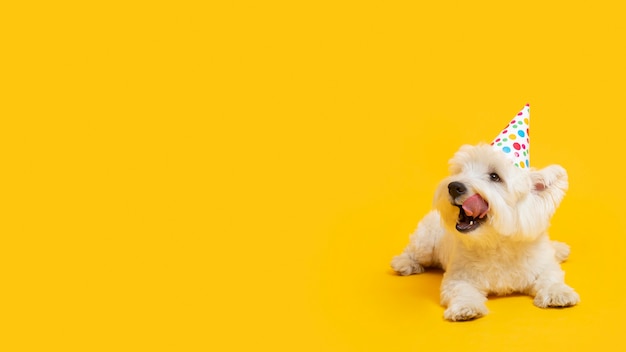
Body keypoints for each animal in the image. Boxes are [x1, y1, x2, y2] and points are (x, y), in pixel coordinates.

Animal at [392, 144, 576, 322]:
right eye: (461, 171)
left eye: (494, 176)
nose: (453, 186)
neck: (498, 245)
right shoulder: (459, 277)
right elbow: (461, 290)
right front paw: (466, 307)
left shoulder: (542, 265)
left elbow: (551, 277)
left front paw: (558, 292)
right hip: (426, 242)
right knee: (413, 252)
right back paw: (404, 263)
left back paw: (559, 249)